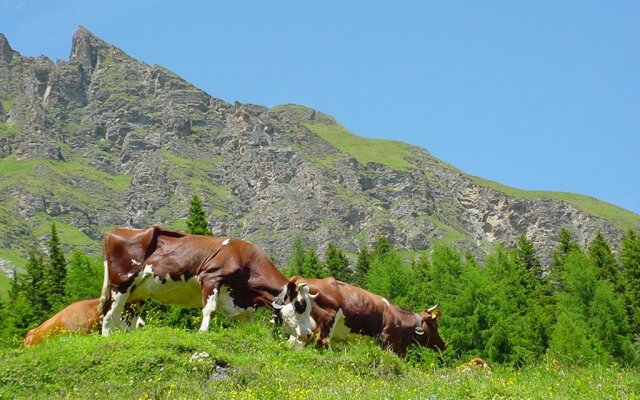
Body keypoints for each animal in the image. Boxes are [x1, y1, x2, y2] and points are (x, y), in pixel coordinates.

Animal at [100, 227, 288, 336]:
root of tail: (114, 232)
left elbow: (245, 324)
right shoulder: (211, 277)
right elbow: (209, 309)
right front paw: (203, 332)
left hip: (138, 293)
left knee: (128, 319)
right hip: (120, 284)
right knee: (109, 315)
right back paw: (107, 337)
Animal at [274, 276, 444, 358]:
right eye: (435, 325)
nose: (443, 345)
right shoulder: (389, 341)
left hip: (302, 328)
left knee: (293, 343)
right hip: (328, 320)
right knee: (322, 342)